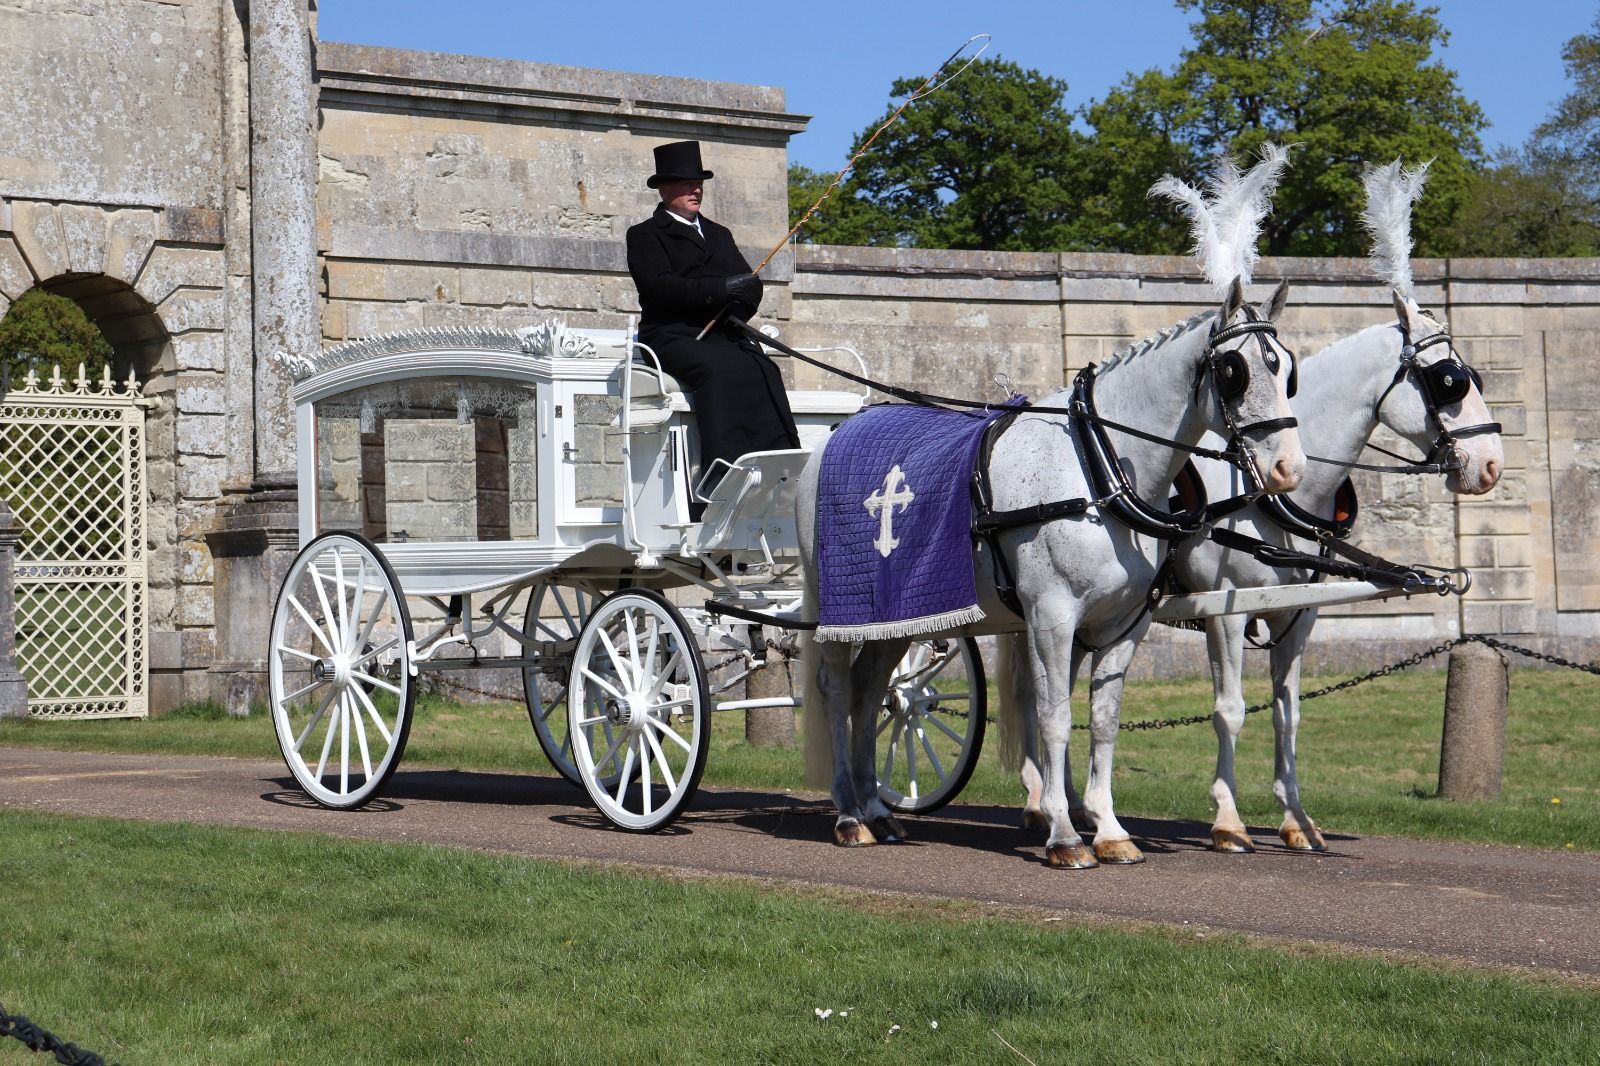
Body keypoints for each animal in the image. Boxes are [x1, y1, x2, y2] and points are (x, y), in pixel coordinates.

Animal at [798, 277, 1305, 867]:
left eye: (1286, 369)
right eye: (1234, 369)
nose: (1289, 470)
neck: (1096, 465)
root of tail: (835, 434)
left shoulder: (1123, 625)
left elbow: (1103, 721)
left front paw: (1109, 829)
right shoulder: (1051, 617)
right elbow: (1054, 717)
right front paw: (1064, 833)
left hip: (895, 619)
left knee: (872, 689)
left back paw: (877, 809)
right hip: (836, 608)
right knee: (838, 690)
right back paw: (849, 814)